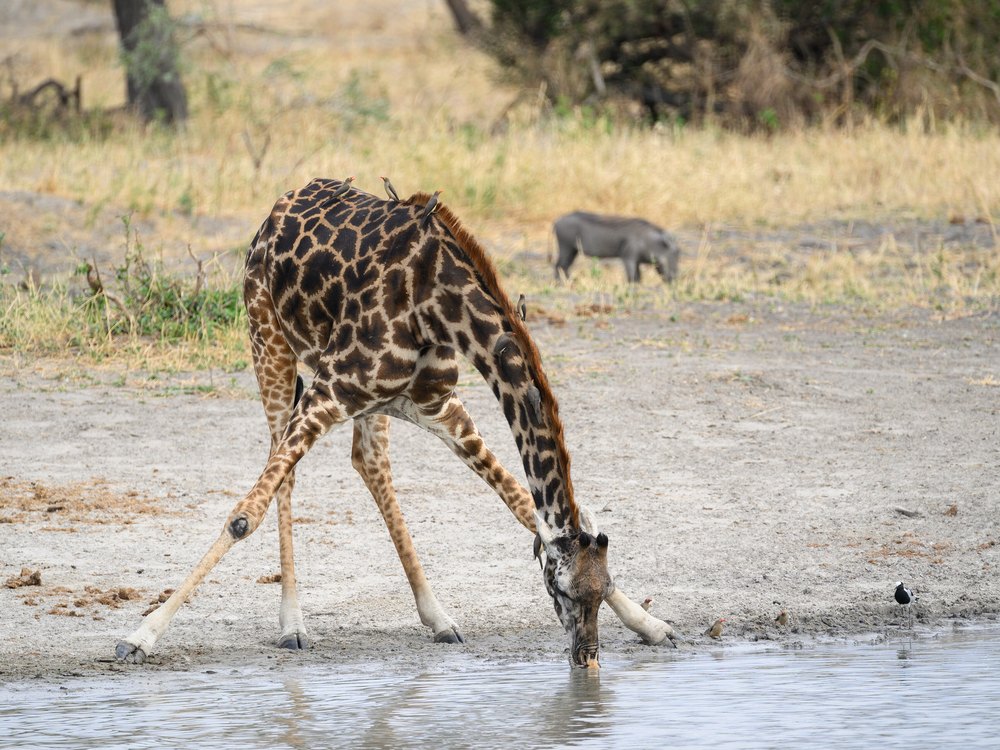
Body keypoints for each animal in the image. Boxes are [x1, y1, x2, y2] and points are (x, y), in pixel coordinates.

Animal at [115, 177, 676, 668]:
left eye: (602, 591)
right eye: (560, 590)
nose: (587, 659)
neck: (438, 304)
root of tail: (281, 204)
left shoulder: (437, 405)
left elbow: (521, 504)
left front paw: (651, 624)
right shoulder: (329, 391)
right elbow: (242, 517)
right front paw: (140, 635)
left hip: (375, 404)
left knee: (369, 463)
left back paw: (438, 617)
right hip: (268, 341)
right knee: (286, 473)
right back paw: (292, 624)